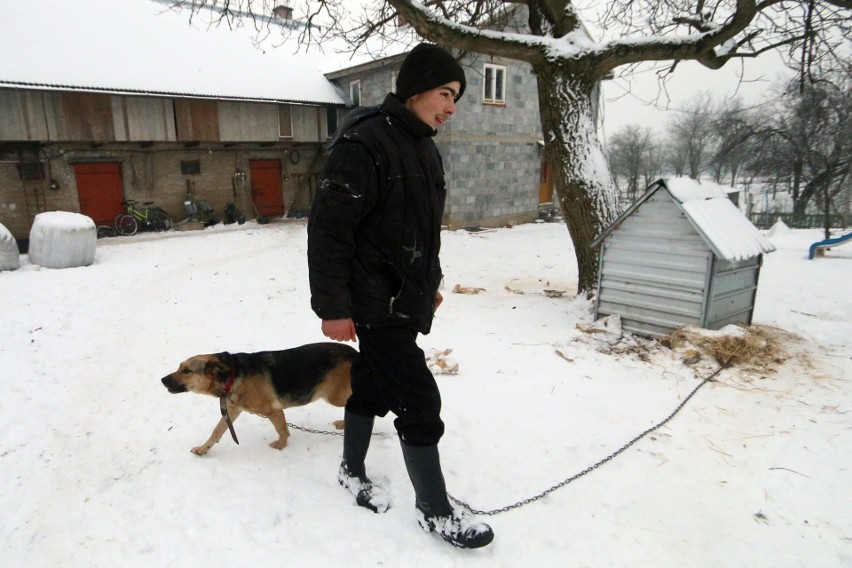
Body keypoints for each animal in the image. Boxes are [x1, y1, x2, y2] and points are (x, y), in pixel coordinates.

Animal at [162, 342, 356, 458]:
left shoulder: (273, 410)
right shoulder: (232, 411)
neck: (231, 376)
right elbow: (216, 432)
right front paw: (203, 449)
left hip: (334, 396)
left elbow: (283, 431)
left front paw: (280, 447)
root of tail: (355, 353)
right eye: (180, 367)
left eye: (187, 371)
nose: (162, 380)